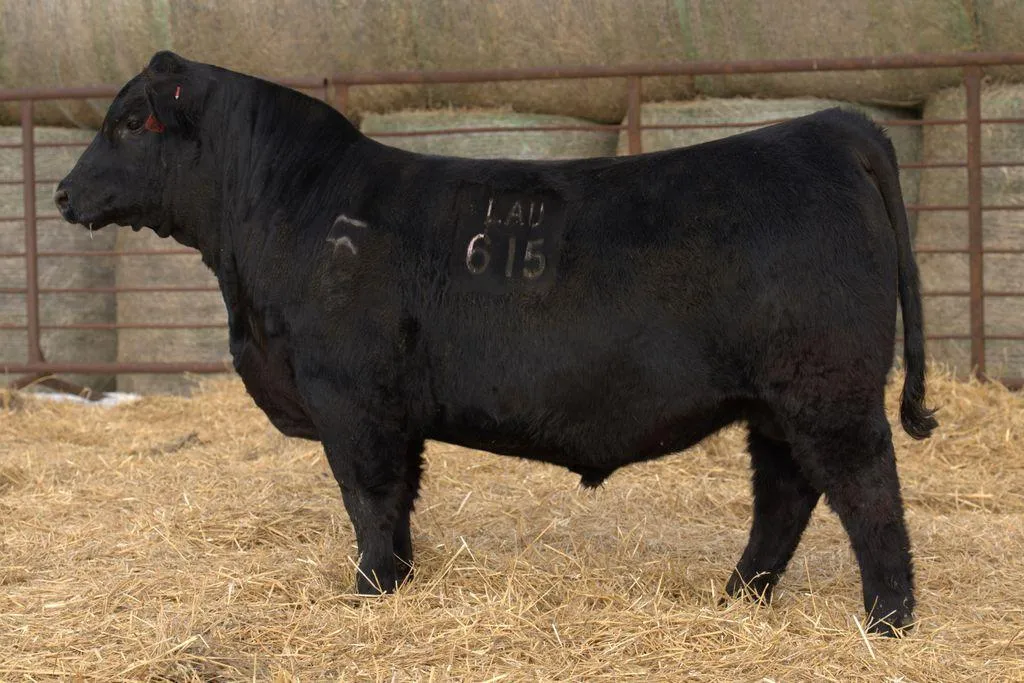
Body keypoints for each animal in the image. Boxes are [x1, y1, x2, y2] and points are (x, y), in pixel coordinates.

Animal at [56, 51, 937, 636]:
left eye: (130, 122)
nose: (63, 192)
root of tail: (830, 127)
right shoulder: (391, 410)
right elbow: (399, 499)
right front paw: (397, 579)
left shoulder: (351, 397)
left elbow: (368, 497)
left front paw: (369, 589)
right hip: (776, 400)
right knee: (785, 493)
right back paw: (740, 595)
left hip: (827, 388)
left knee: (866, 489)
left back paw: (887, 618)